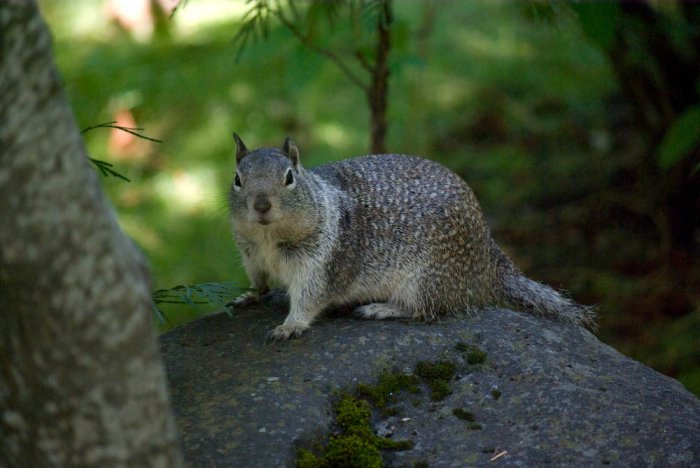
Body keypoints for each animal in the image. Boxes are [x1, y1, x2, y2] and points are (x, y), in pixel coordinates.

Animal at [227, 133, 592, 342]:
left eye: (289, 177)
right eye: (237, 179)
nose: (261, 205)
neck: (268, 239)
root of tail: (488, 259)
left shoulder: (320, 264)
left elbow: (309, 297)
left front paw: (290, 325)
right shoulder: (249, 254)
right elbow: (259, 281)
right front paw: (249, 296)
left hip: (425, 279)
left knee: (427, 311)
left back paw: (382, 309)